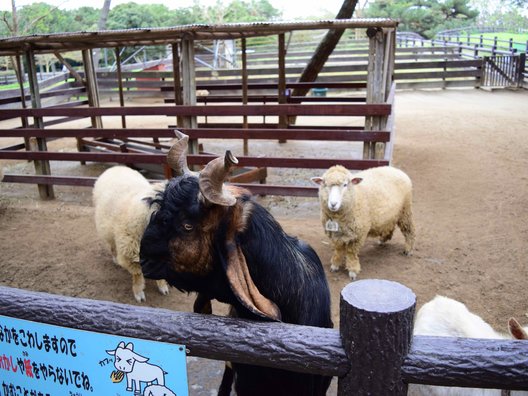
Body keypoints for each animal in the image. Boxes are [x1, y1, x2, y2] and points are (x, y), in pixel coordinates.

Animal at [93, 166, 169, 302]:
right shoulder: (129, 253)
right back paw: (115, 259)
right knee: (112, 245)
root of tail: (116, 167)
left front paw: (162, 287)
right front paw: (138, 293)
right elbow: (137, 274)